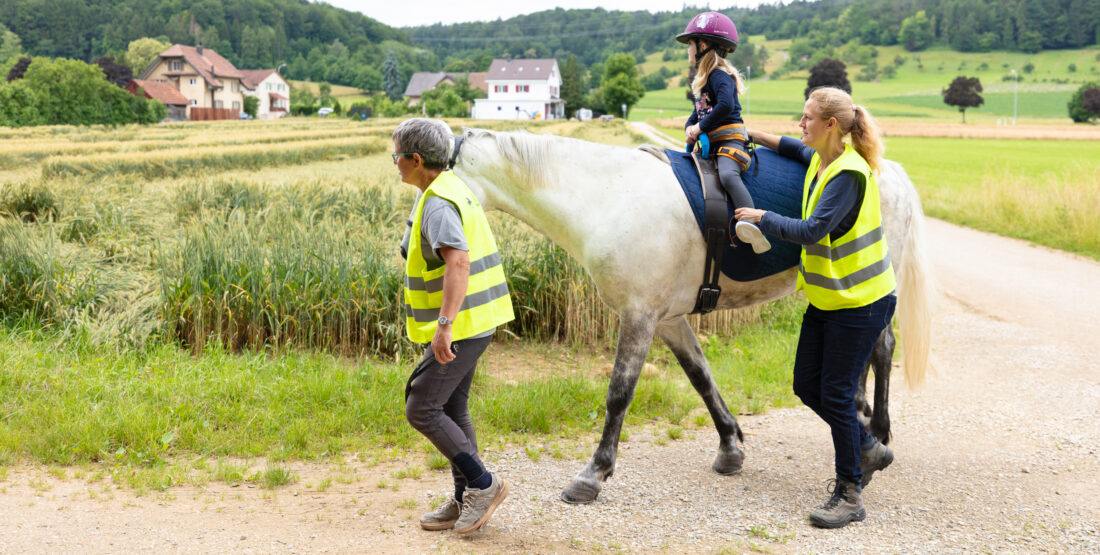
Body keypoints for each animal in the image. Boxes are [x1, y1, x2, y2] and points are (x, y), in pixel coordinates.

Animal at [451, 127, 932, 503]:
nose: (425, 250)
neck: (607, 197)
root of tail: (890, 171)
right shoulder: (666, 319)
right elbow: (700, 375)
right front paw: (731, 447)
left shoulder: (639, 315)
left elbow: (619, 393)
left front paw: (594, 474)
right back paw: (861, 419)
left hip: (869, 284)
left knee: (882, 349)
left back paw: (877, 435)